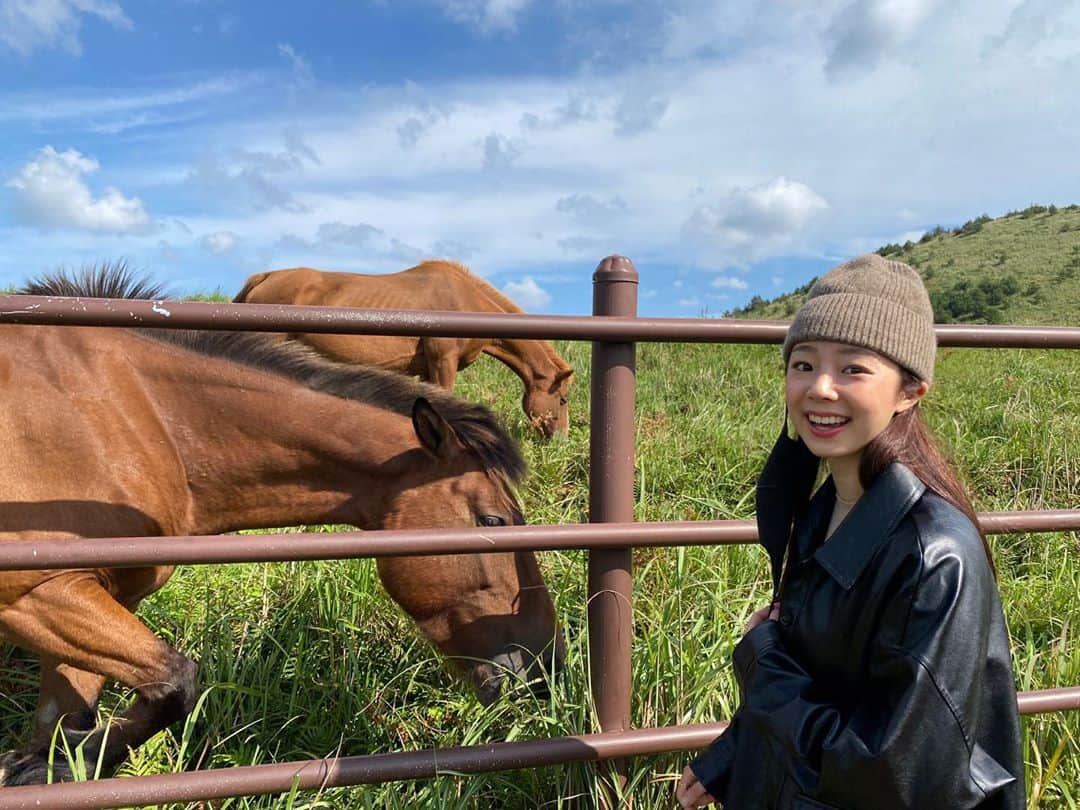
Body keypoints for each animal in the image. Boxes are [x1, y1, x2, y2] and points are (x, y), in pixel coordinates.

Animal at [233, 260, 578, 438]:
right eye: (562, 400)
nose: (560, 440)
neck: (465, 301)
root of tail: (262, 277)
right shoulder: (443, 362)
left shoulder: (425, 368)